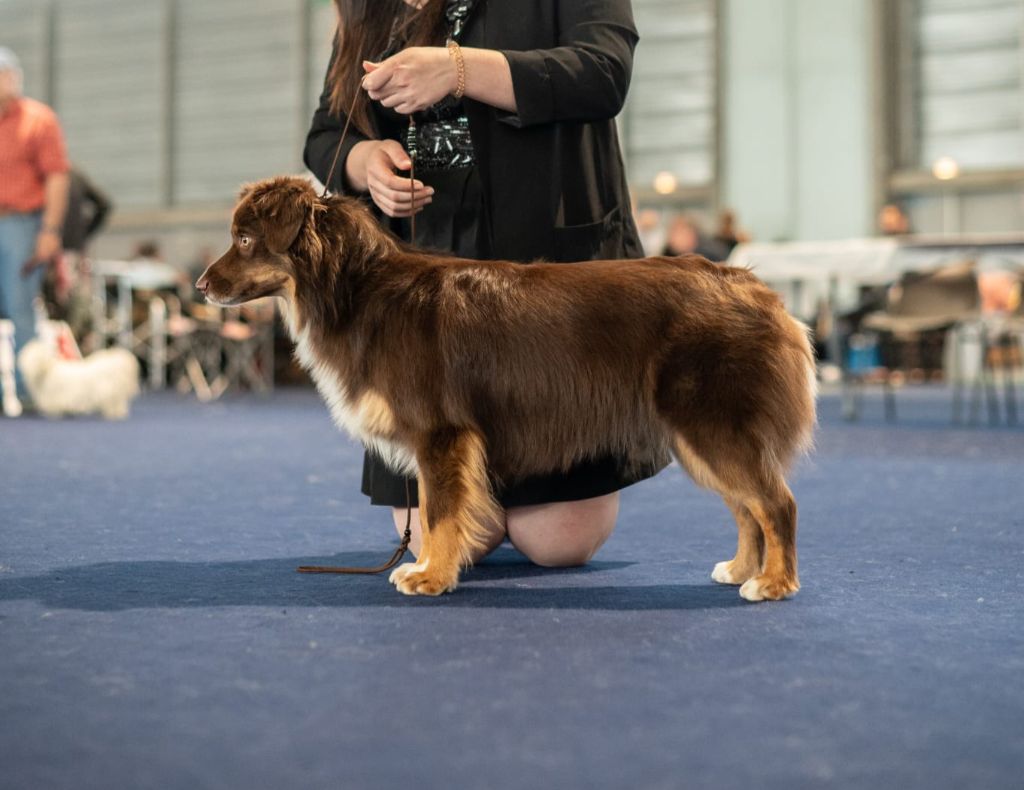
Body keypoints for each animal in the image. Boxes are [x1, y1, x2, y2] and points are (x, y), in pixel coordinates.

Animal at [197, 177, 815, 598]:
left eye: (245, 239)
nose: (201, 285)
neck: (357, 289)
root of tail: (757, 290)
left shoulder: (442, 433)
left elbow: (440, 512)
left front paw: (431, 576)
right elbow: (436, 511)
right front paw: (431, 569)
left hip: (711, 421)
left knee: (776, 502)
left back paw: (774, 583)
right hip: (700, 434)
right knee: (746, 507)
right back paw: (741, 569)